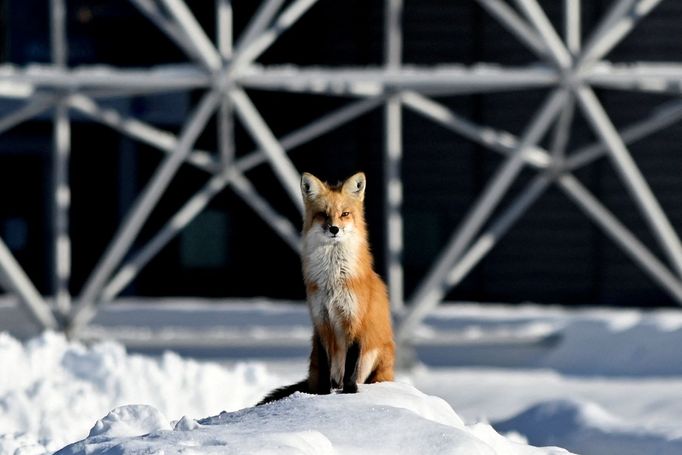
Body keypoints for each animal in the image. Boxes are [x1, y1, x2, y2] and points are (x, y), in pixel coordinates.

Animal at [256, 172, 394, 406]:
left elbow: (351, 366)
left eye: (345, 214)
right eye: (323, 214)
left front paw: (349, 392)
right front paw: (323, 395)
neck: (333, 281)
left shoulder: (355, 321)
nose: (334, 229)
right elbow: (326, 366)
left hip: (378, 358)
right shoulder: (321, 321)